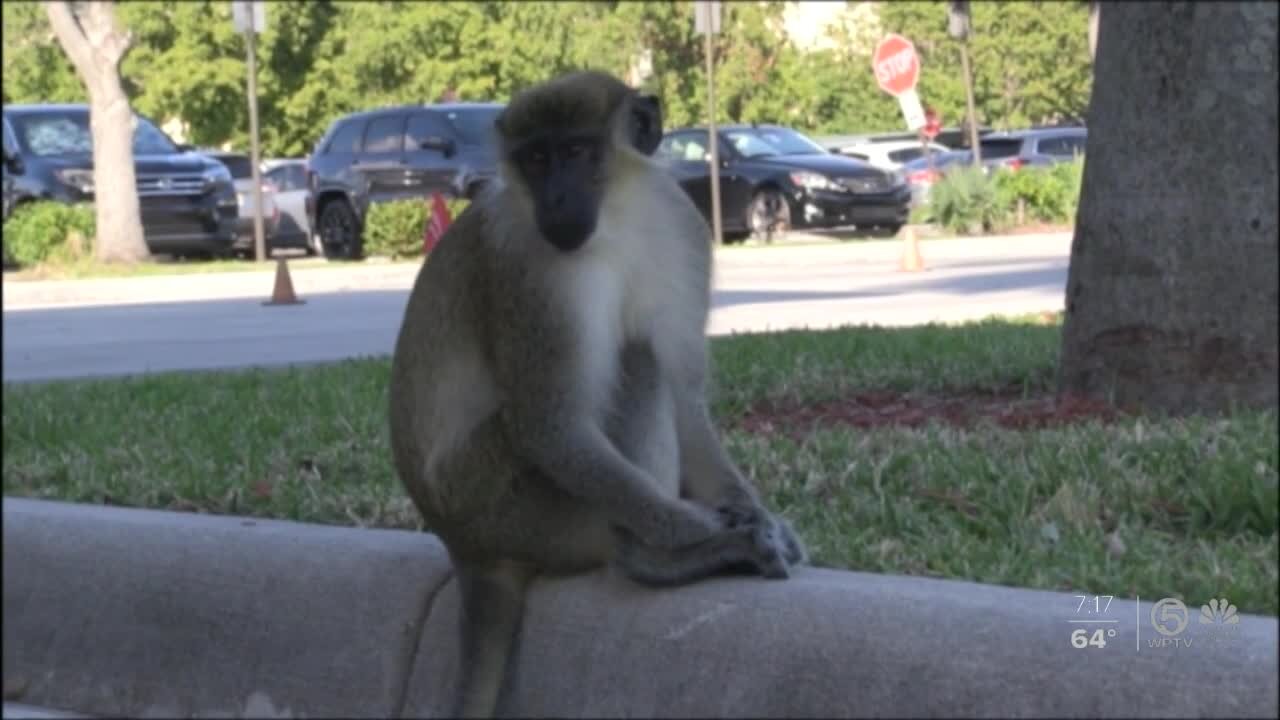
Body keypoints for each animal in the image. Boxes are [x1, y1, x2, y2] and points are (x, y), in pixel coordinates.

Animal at [386, 70, 808, 712]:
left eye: (577, 152)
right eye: (536, 160)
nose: (557, 199)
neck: (618, 214)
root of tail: (463, 545)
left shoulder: (681, 222)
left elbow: (686, 396)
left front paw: (752, 511)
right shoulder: (527, 270)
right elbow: (552, 428)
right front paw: (697, 530)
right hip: (513, 505)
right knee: (635, 360)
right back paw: (654, 561)